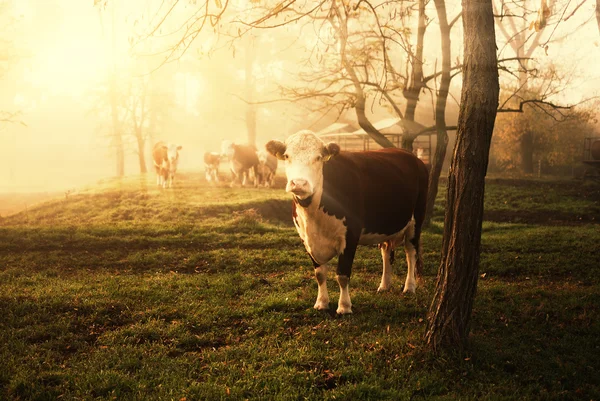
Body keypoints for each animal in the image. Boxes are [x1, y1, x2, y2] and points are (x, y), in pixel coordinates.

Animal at [266, 130, 426, 314]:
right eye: (286, 156)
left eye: (318, 157)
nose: (299, 183)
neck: (313, 214)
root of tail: (409, 155)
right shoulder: (306, 239)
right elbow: (319, 274)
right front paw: (321, 303)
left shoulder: (351, 235)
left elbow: (342, 274)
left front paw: (344, 306)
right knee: (386, 251)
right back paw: (384, 285)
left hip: (416, 220)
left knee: (411, 253)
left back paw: (409, 287)